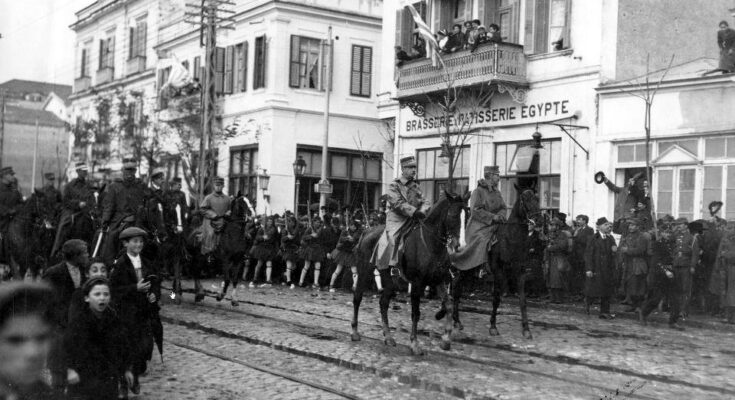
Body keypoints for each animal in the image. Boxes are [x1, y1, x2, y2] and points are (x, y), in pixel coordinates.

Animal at [350, 192, 466, 354]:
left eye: (467, 215)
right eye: (453, 215)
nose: (459, 246)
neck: (431, 244)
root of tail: (367, 231)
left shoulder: (438, 280)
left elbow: (448, 305)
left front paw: (446, 340)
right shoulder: (418, 283)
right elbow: (416, 313)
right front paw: (414, 344)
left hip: (389, 280)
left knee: (383, 303)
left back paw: (388, 337)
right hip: (364, 272)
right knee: (357, 298)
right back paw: (355, 332)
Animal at [440, 186, 544, 340]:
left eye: (537, 198)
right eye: (524, 199)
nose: (538, 220)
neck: (510, 240)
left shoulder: (520, 272)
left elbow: (523, 300)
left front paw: (526, 329)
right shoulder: (498, 271)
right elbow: (496, 298)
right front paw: (493, 326)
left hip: (468, 271)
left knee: (457, 290)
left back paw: (457, 321)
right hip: (461, 269)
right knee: (455, 290)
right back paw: (455, 320)